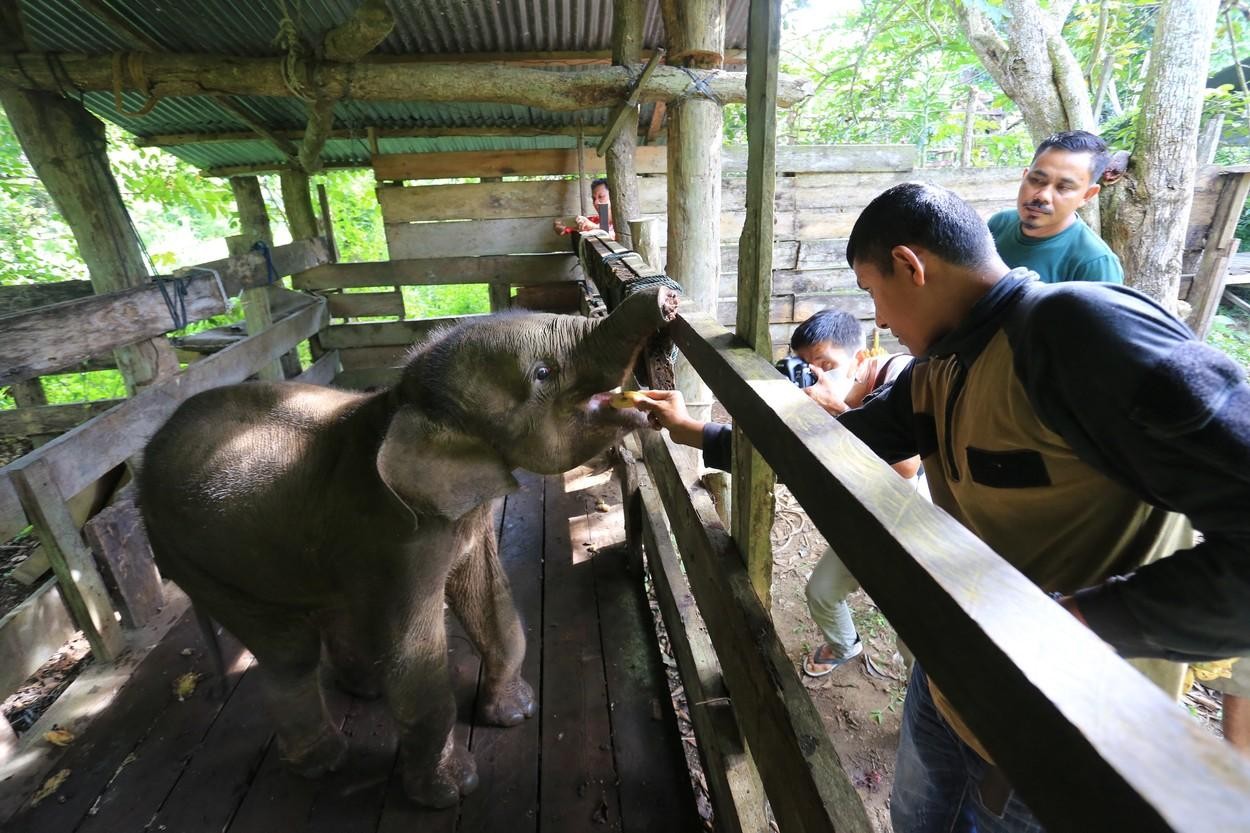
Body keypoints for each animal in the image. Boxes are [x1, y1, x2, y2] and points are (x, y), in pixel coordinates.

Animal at [137, 285, 680, 808]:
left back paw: (365, 690)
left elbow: (489, 598)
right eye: (543, 372)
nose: (666, 298)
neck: (403, 403)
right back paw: (323, 763)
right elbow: (413, 654)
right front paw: (450, 791)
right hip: (195, 558)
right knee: (289, 654)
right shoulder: (393, 537)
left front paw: (517, 713)